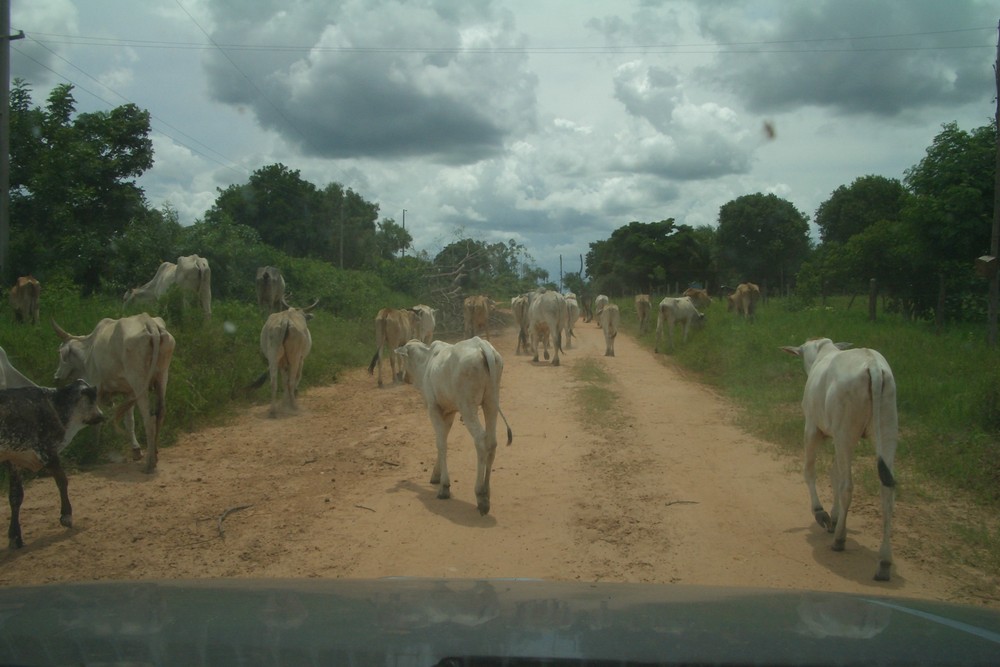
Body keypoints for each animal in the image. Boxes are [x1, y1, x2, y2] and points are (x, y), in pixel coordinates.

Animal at [0, 378, 102, 552]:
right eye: (92, 398)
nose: (101, 415)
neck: (55, 405)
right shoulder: (47, 451)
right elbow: (62, 481)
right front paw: (66, 516)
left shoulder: (15, 460)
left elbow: (15, 496)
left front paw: (15, 537)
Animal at [394, 340, 512, 516]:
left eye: (403, 359)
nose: (404, 377)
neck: (426, 361)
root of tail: (481, 345)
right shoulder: (449, 412)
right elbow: (442, 438)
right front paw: (436, 475)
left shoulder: (433, 409)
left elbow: (441, 443)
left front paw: (444, 486)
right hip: (491, 402)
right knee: (492, 442)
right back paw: (487, 491)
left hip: (467, 406)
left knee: (480, 440)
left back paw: (481, 495)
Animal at [780, 340, 900, 584]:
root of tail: (873, 367)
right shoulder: (835, 435)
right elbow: (834, 474)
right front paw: (835, 517)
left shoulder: (812, 428)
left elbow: (810, 471)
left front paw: (822, 514)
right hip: (887, 431)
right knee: (887, 491)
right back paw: (884, 562)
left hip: (846, 433)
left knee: (847, 486)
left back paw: (839, 540)